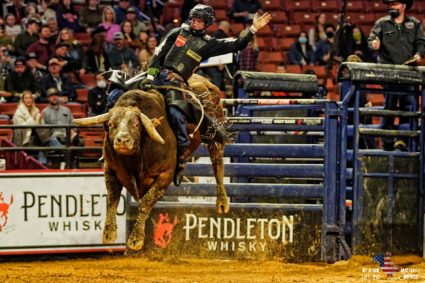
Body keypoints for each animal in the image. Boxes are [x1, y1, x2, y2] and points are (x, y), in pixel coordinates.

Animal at [73, 75, 229, 251]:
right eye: (111, 124)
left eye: (136, 124)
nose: (123, 140)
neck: (135, 159)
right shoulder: (111, 170)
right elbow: (113, 200)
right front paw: (109, 233)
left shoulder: (165, 175)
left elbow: (145, 203)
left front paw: (136, 239)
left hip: (213, 132)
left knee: (217, 162)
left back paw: (222, 202)